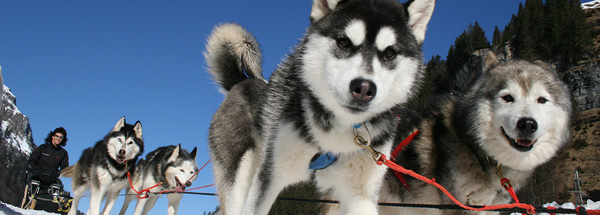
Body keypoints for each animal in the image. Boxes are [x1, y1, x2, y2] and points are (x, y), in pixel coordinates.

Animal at [206, 0, 436, 213]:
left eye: (389, 53)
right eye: (344, 42)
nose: (363, 88)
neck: (339, 129)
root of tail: (241, 82)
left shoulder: (361, 194)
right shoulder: (269, 176)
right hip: (239, 177)